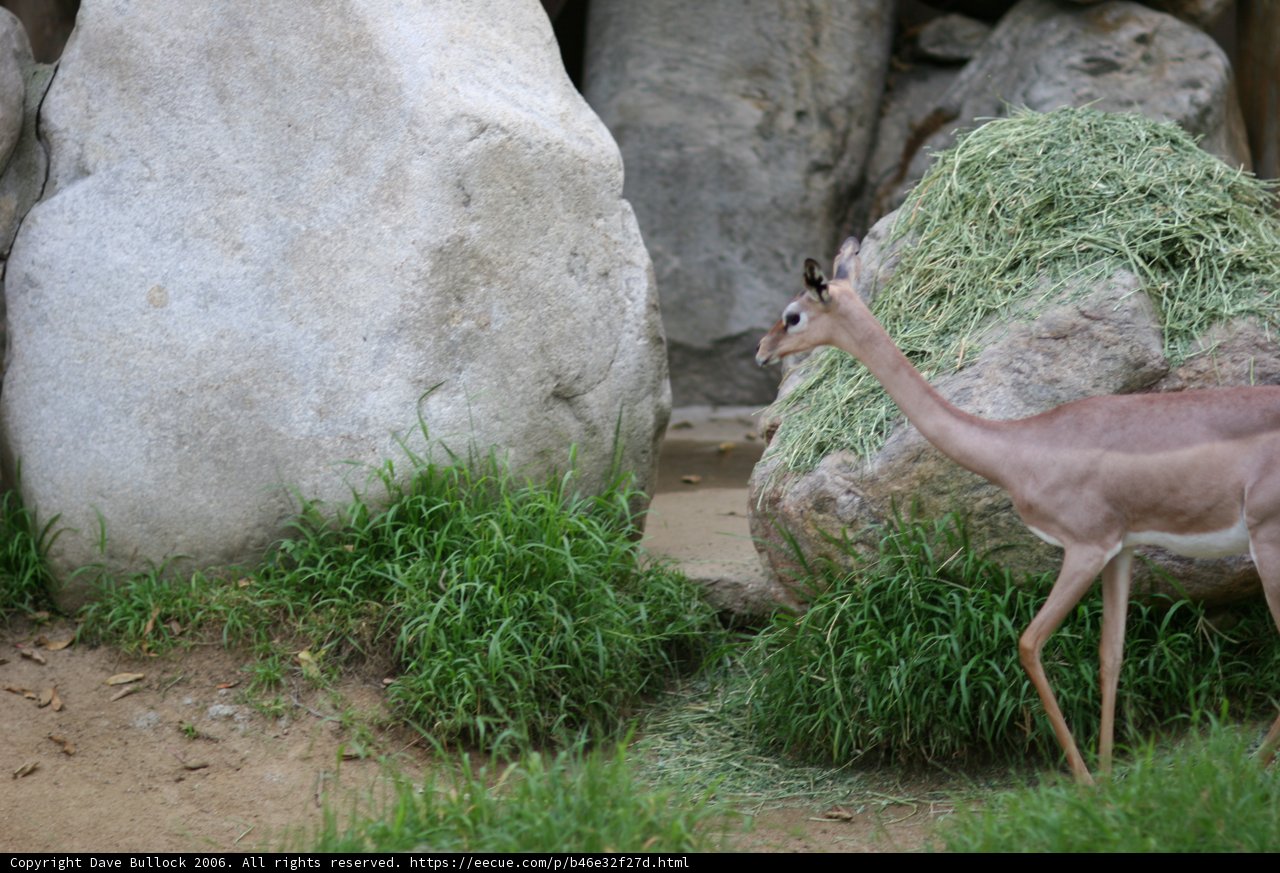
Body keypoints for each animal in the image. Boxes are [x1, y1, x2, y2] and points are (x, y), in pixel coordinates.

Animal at [756, 237, 1280, 783]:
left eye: (792, 315)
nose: (762, 351)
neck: (1021, 447)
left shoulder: (1084, 548)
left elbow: (1029, 643)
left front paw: (1084, 779)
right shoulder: (1121, 550)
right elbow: (1110, 654)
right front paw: (1107, 776)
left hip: (1268, 545)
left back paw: (1254, 768)